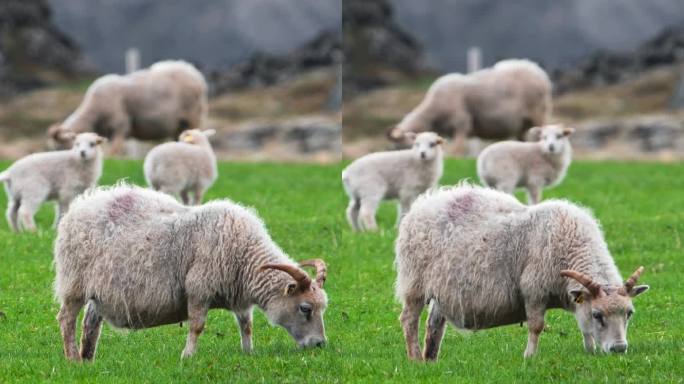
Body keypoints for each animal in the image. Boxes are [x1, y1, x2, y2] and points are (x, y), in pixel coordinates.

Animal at [48, 60, 208, 153]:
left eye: (61, 146)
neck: (93, 111)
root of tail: (195, 73)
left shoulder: (119, 126)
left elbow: (113, 153)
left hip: (193, 116)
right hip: (178, 125)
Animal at [54, 184, 332, 362]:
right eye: (305, 308)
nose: (320, 345)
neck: (245, 255)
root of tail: (82, 204)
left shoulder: (239, 296)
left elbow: (247, 325)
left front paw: (248, 353)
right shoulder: (199, 288)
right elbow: (197, 326)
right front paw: (187, 357)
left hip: (99, 291)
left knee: (90, 323)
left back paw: (88, 359)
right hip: (74, 283)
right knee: (66, 318)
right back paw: (72, 360)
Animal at [388, 59, 552, 154]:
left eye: (401, 146)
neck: (432, 111)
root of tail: (539, 72)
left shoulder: (461, 123)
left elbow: (456, 150)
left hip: (538, 113)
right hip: (521, 125)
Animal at [392, 184, 648, 362]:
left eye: (629, 313)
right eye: (598, 315)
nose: (619, 349)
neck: (570, 241)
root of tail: (425, 202)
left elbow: (583, 328)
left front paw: (590, 350)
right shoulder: (534, 290)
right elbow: (536, 326)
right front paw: (529, 357)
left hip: (442, 290)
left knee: (434, 325)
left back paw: (431, 360)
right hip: (414, 283)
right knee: (409, 320)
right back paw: (415, 360)